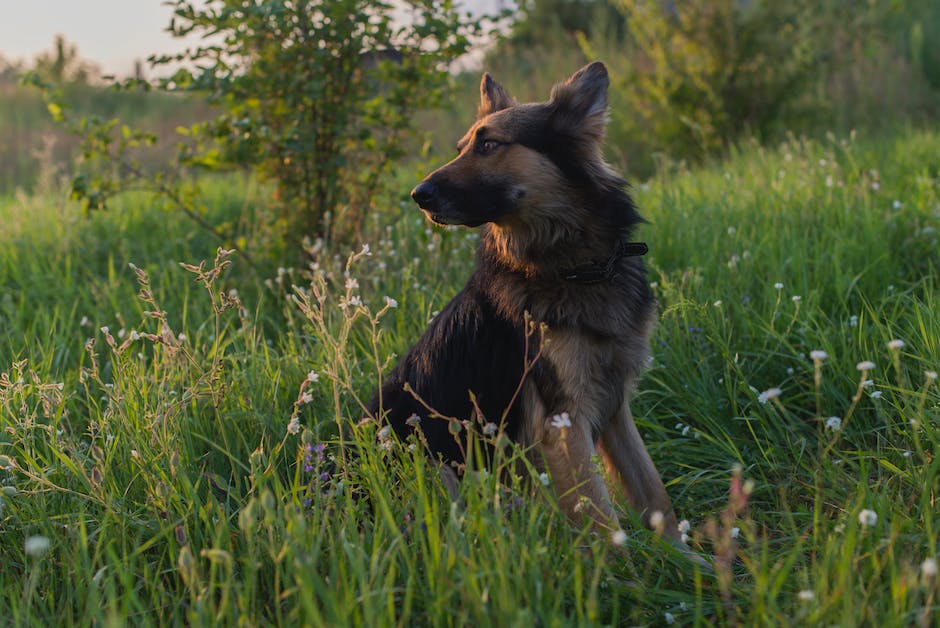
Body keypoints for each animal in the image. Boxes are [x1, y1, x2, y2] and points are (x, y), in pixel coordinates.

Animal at [370, 62, 688, 544]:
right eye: (462, 148)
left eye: (488, 145)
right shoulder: (563, 423)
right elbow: (604, 526)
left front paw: (688, 559)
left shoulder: (614, 406)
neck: (576, 268)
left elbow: (655, 496)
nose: (417, 195)